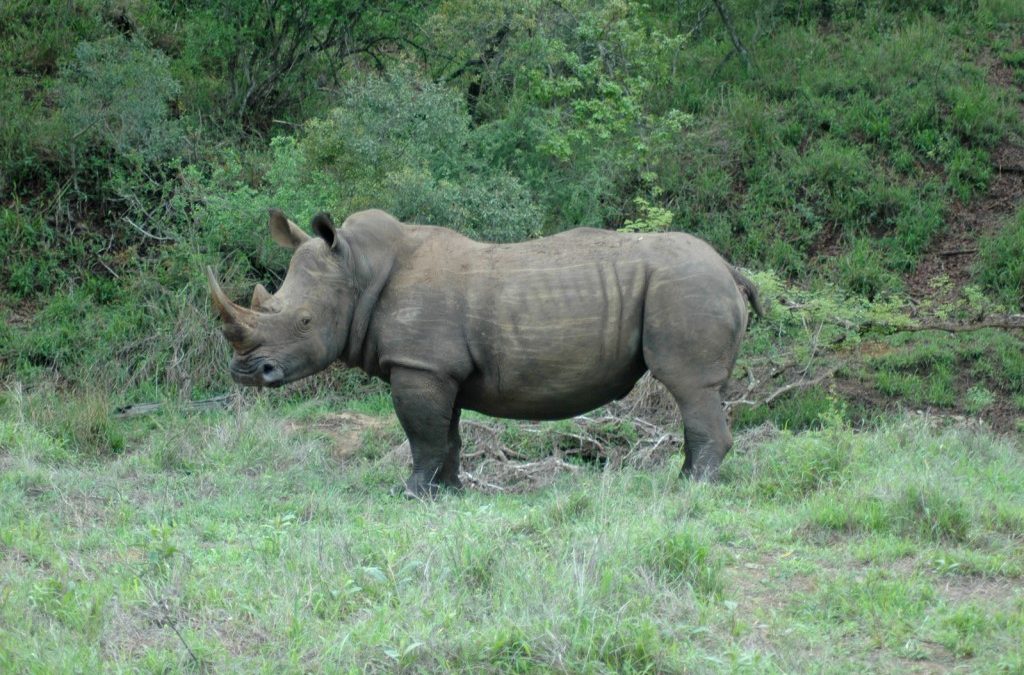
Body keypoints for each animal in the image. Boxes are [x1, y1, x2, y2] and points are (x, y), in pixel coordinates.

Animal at [208, 209, 764, 496]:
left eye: (303, 321)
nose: (246, 372)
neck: (358, 270)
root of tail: (728, 266)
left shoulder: (418, 365)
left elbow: (423, 436)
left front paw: (410, 494)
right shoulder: (438, 368)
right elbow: (447, 435)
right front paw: (449, 493)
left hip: (687, 285)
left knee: (688, 385)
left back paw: (689, 488)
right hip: (693, 283)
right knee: (697, 391)